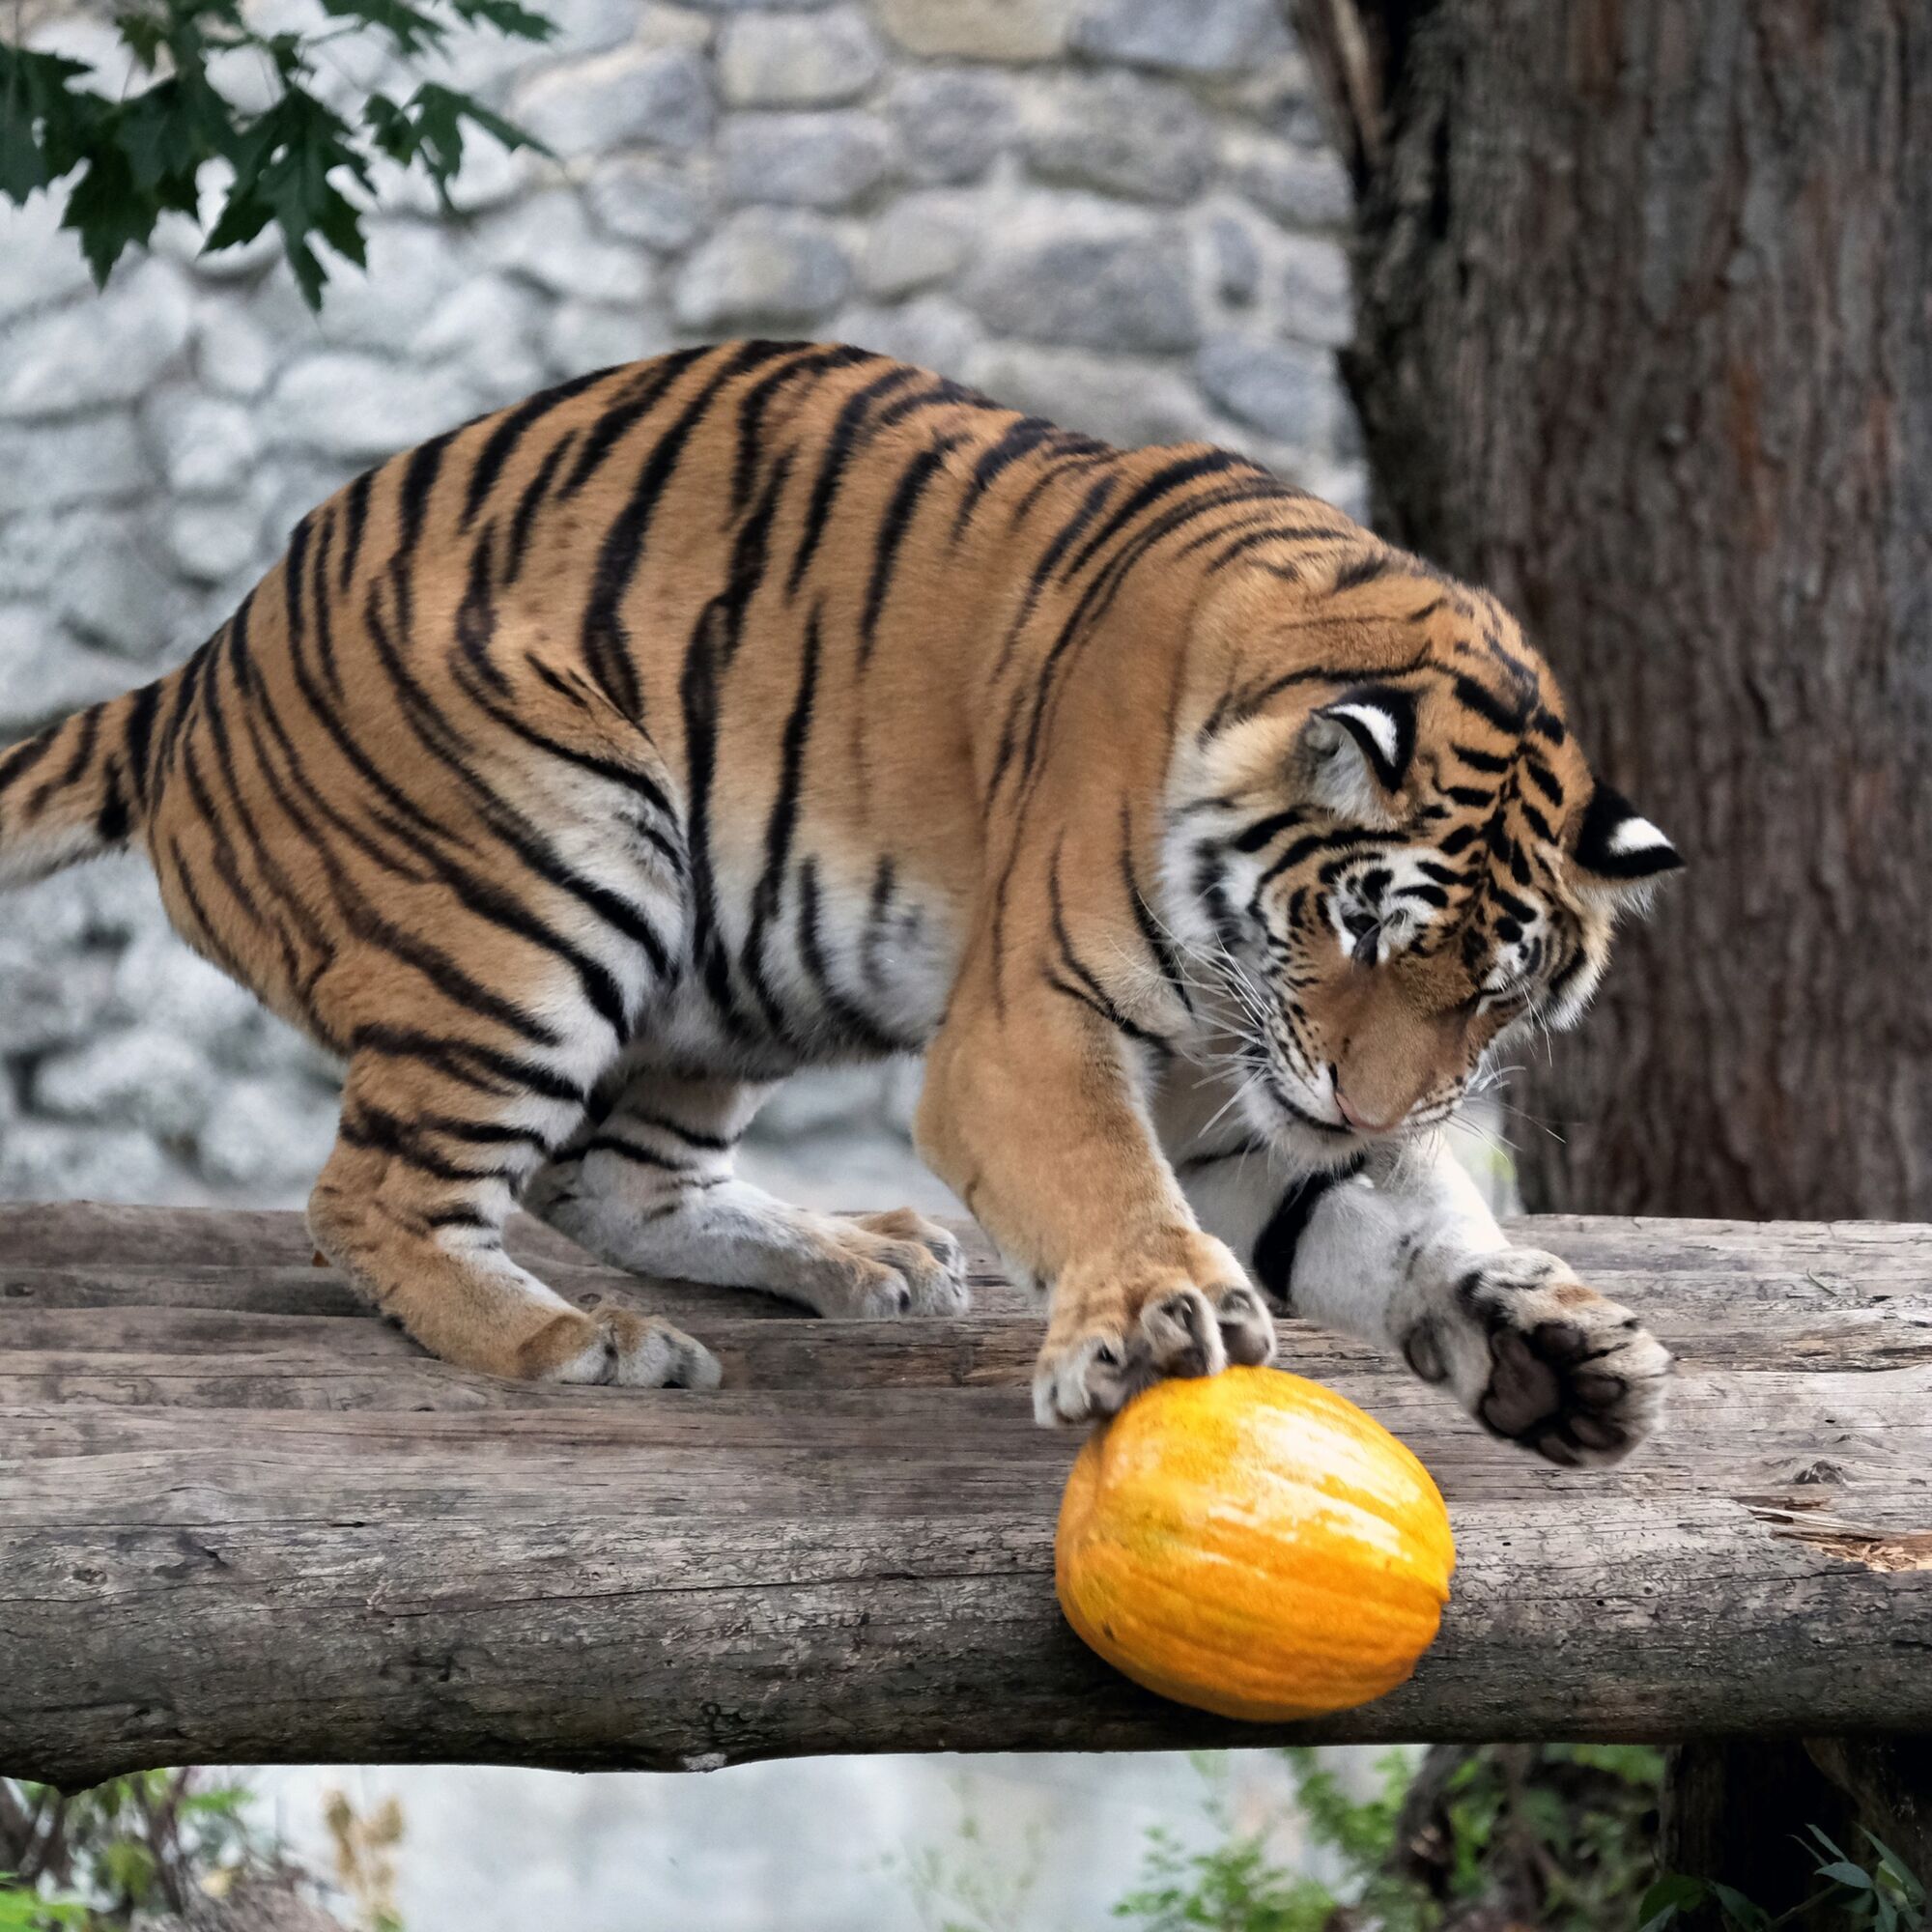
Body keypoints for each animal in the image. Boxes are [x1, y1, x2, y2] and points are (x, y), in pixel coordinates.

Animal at [0, 340, 1677, 1453]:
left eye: (1498, 992)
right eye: (1357, 929)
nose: (1366, 1104)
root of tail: (198, 675)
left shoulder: (1242, 1100)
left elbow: (1405, 1220)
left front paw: (1550, 1340)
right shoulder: (1031, 1029)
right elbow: (1104, 1176)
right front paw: (1148, 1318)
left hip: (729, 966)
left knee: (608, 1180)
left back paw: (859, 1257)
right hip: (555, 882)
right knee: (375, 1200)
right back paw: (584, 1342)